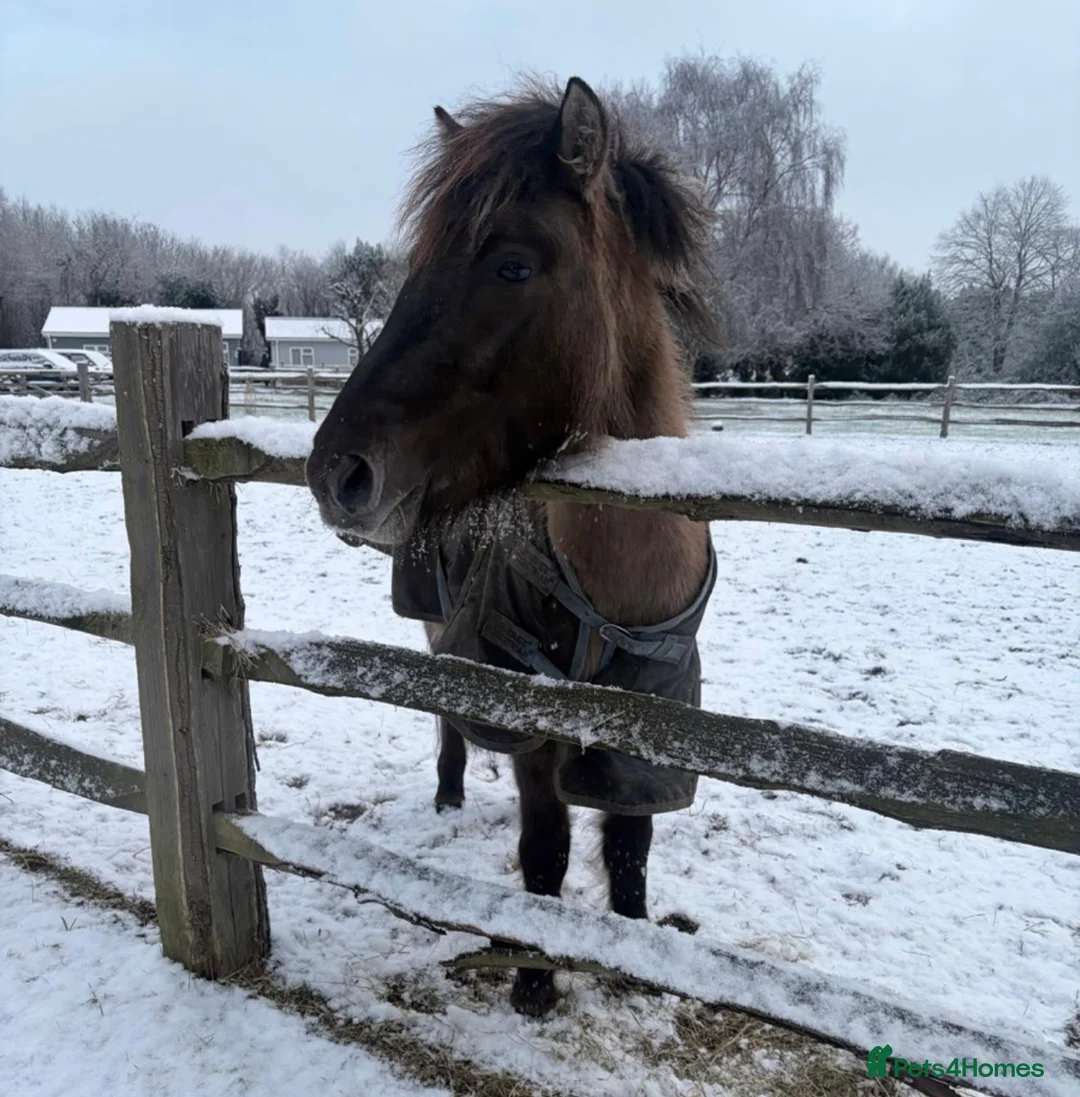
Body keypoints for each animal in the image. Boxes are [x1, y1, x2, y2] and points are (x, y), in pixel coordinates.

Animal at [307, 76, 715, 1016]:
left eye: (513, 266)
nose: (338, 471)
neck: (616, 593)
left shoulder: (649, 724)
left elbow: (629, 849)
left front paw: (634, 952)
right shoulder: (531, 716)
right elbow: (546, 854)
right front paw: (533, 975)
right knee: (446, 715)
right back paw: (450, 793)